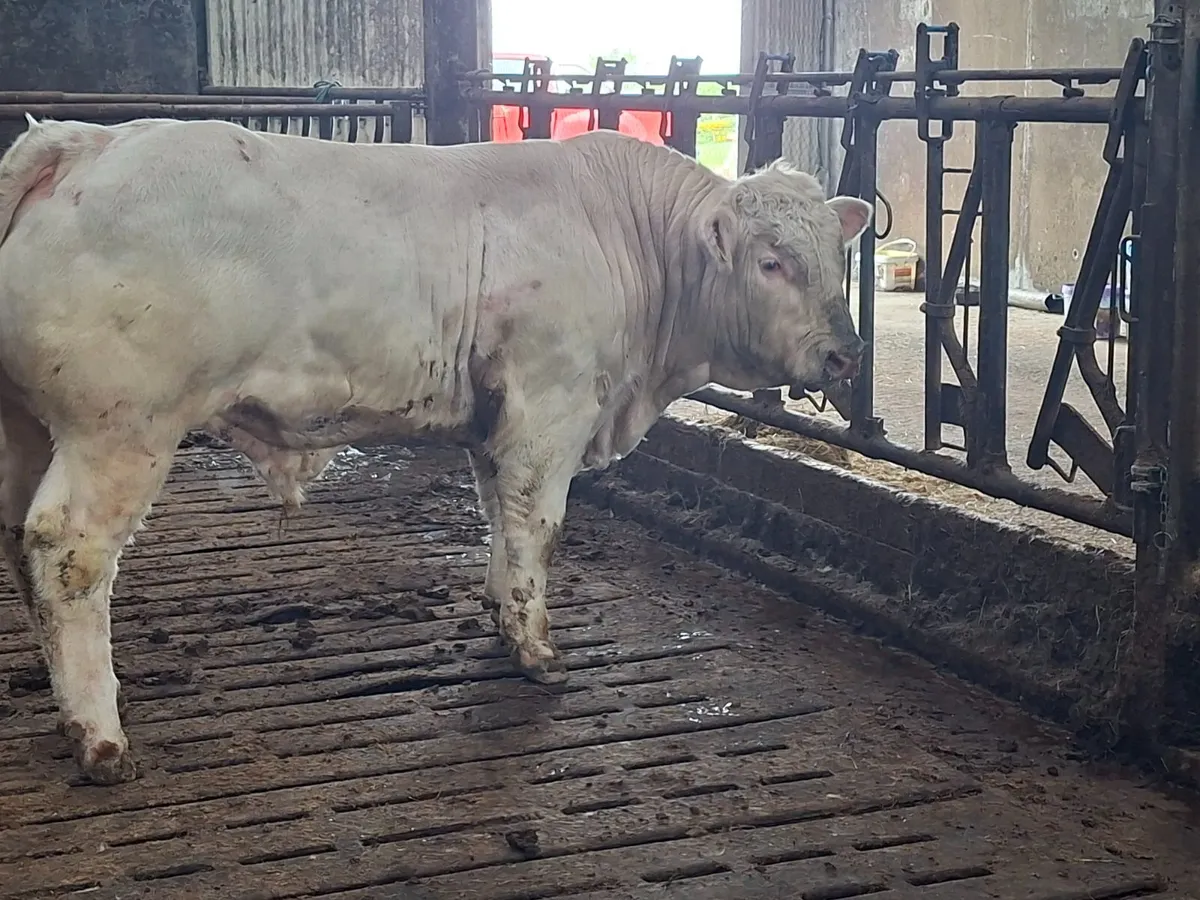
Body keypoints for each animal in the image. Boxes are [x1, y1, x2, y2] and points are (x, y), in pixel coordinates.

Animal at [0, 115, 870, 784]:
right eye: (772, 262)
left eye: (837, 258)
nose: (844, 355)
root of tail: (83, 141)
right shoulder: (549, 408)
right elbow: (537, 526)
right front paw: (536, 648)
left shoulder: (496, 420)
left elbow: (499, 518)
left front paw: (500, 613)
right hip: (121, 429)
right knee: (67, 554)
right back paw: (100, 736)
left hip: (27, 429)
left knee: (19, 541)